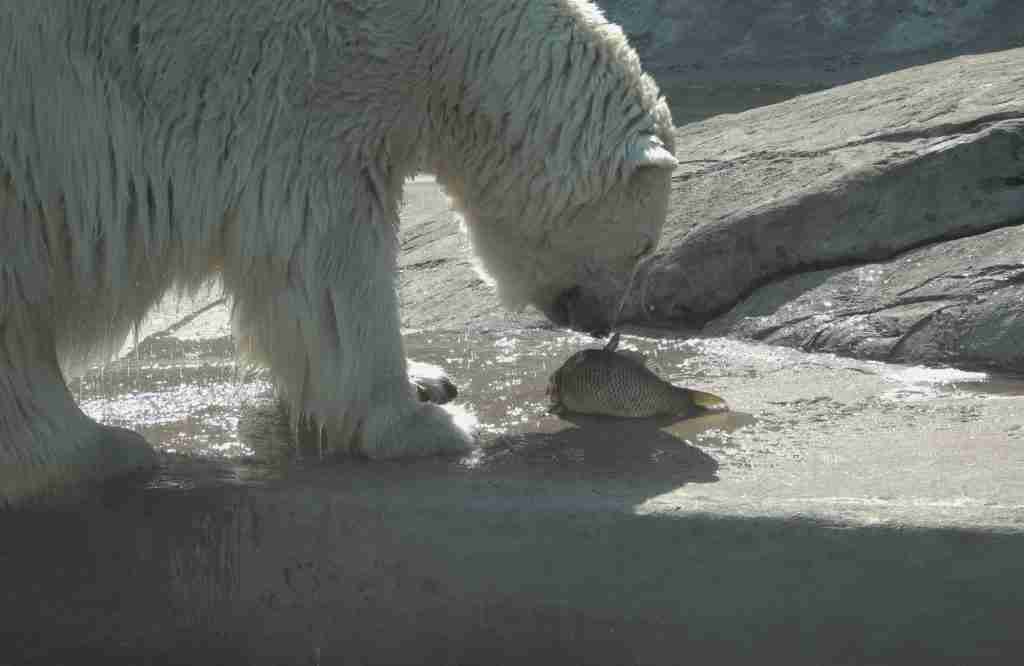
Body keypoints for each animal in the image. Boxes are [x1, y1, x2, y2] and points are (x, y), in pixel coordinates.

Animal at [2, 0, 679, 497]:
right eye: (643, 244)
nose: (602, 325)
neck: (440, 33)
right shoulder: (308, 86)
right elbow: (324, 261)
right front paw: (425, 425)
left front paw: (430, 380)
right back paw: (97, 450)